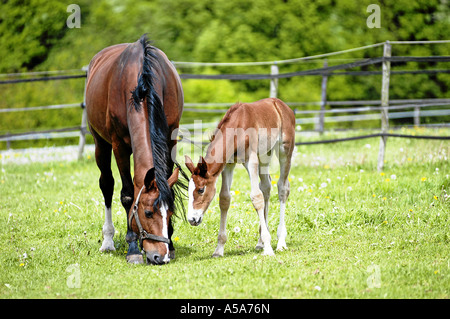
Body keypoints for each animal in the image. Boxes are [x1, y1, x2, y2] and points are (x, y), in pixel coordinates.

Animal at [86, 34, 185, 264]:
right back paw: (108, 241)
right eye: (148, 213)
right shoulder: (119, 146)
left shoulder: (170, 140)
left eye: (170, 213)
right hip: (100, 144)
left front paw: (171, 243)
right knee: (107, 185)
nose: (160, 256)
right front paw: (132, 248)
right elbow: (127, 195)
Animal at [184, 98, 296, 258]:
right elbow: (224, 199)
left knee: (282, 188)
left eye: (200, 190)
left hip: (285, 149)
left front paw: (269, 248)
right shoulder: (228, 164)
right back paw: (260, 242)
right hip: (265, 155)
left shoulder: (251, 160)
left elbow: (256, 197)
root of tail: (281, 104)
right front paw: (219, 249)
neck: (237, 127)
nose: (192, 219)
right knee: (266, 186)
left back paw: (280, 242)